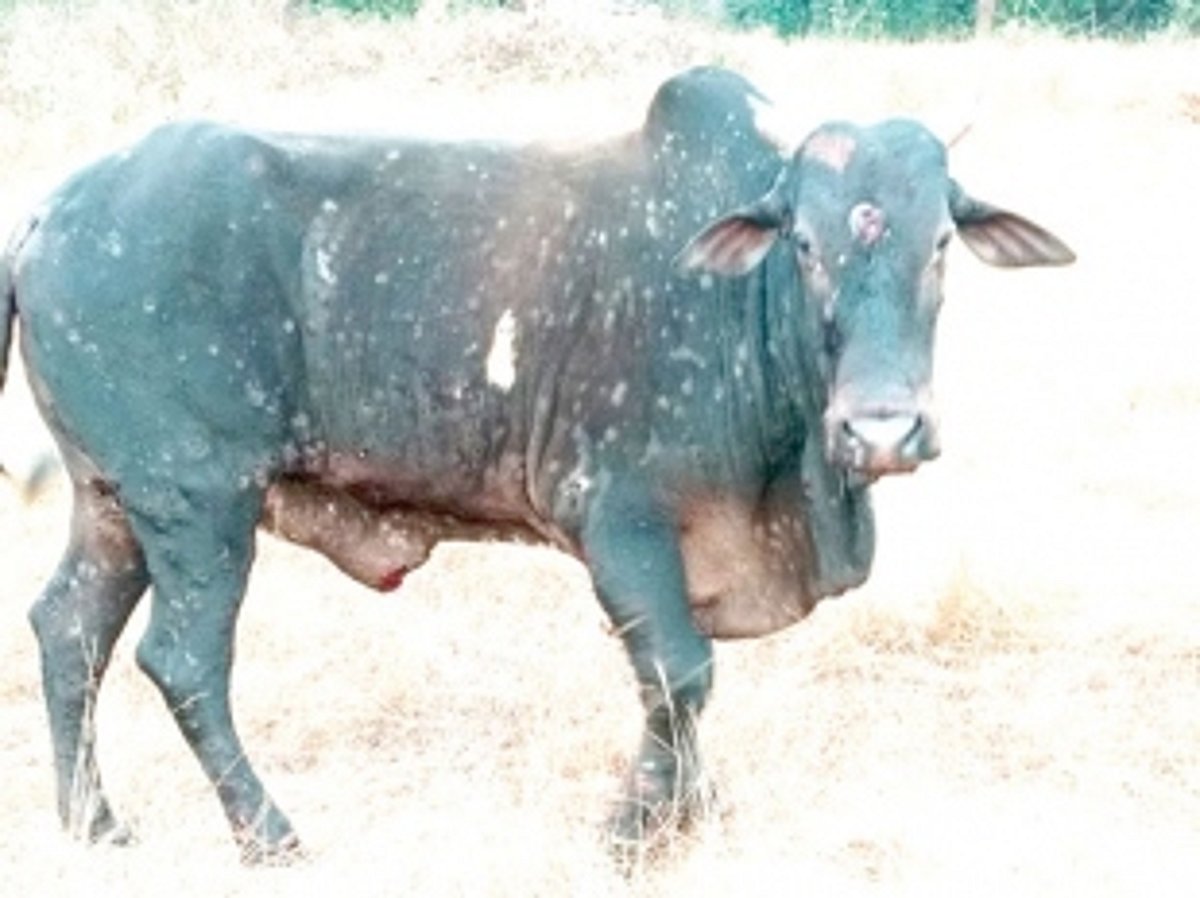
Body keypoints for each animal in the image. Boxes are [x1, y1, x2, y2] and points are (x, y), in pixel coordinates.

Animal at [0, 66, 1073, 863]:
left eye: (942, 242)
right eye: (803, 244)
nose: (883, 430)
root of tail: (52, 208)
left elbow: (686, 684)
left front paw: (692, 816)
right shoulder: (620, 521)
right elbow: (679, 675)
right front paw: (636, 835)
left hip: (117, 504)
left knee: (69, 631)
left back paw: (94, 826)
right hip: (198, 503)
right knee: (182, 661)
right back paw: (273, 838)